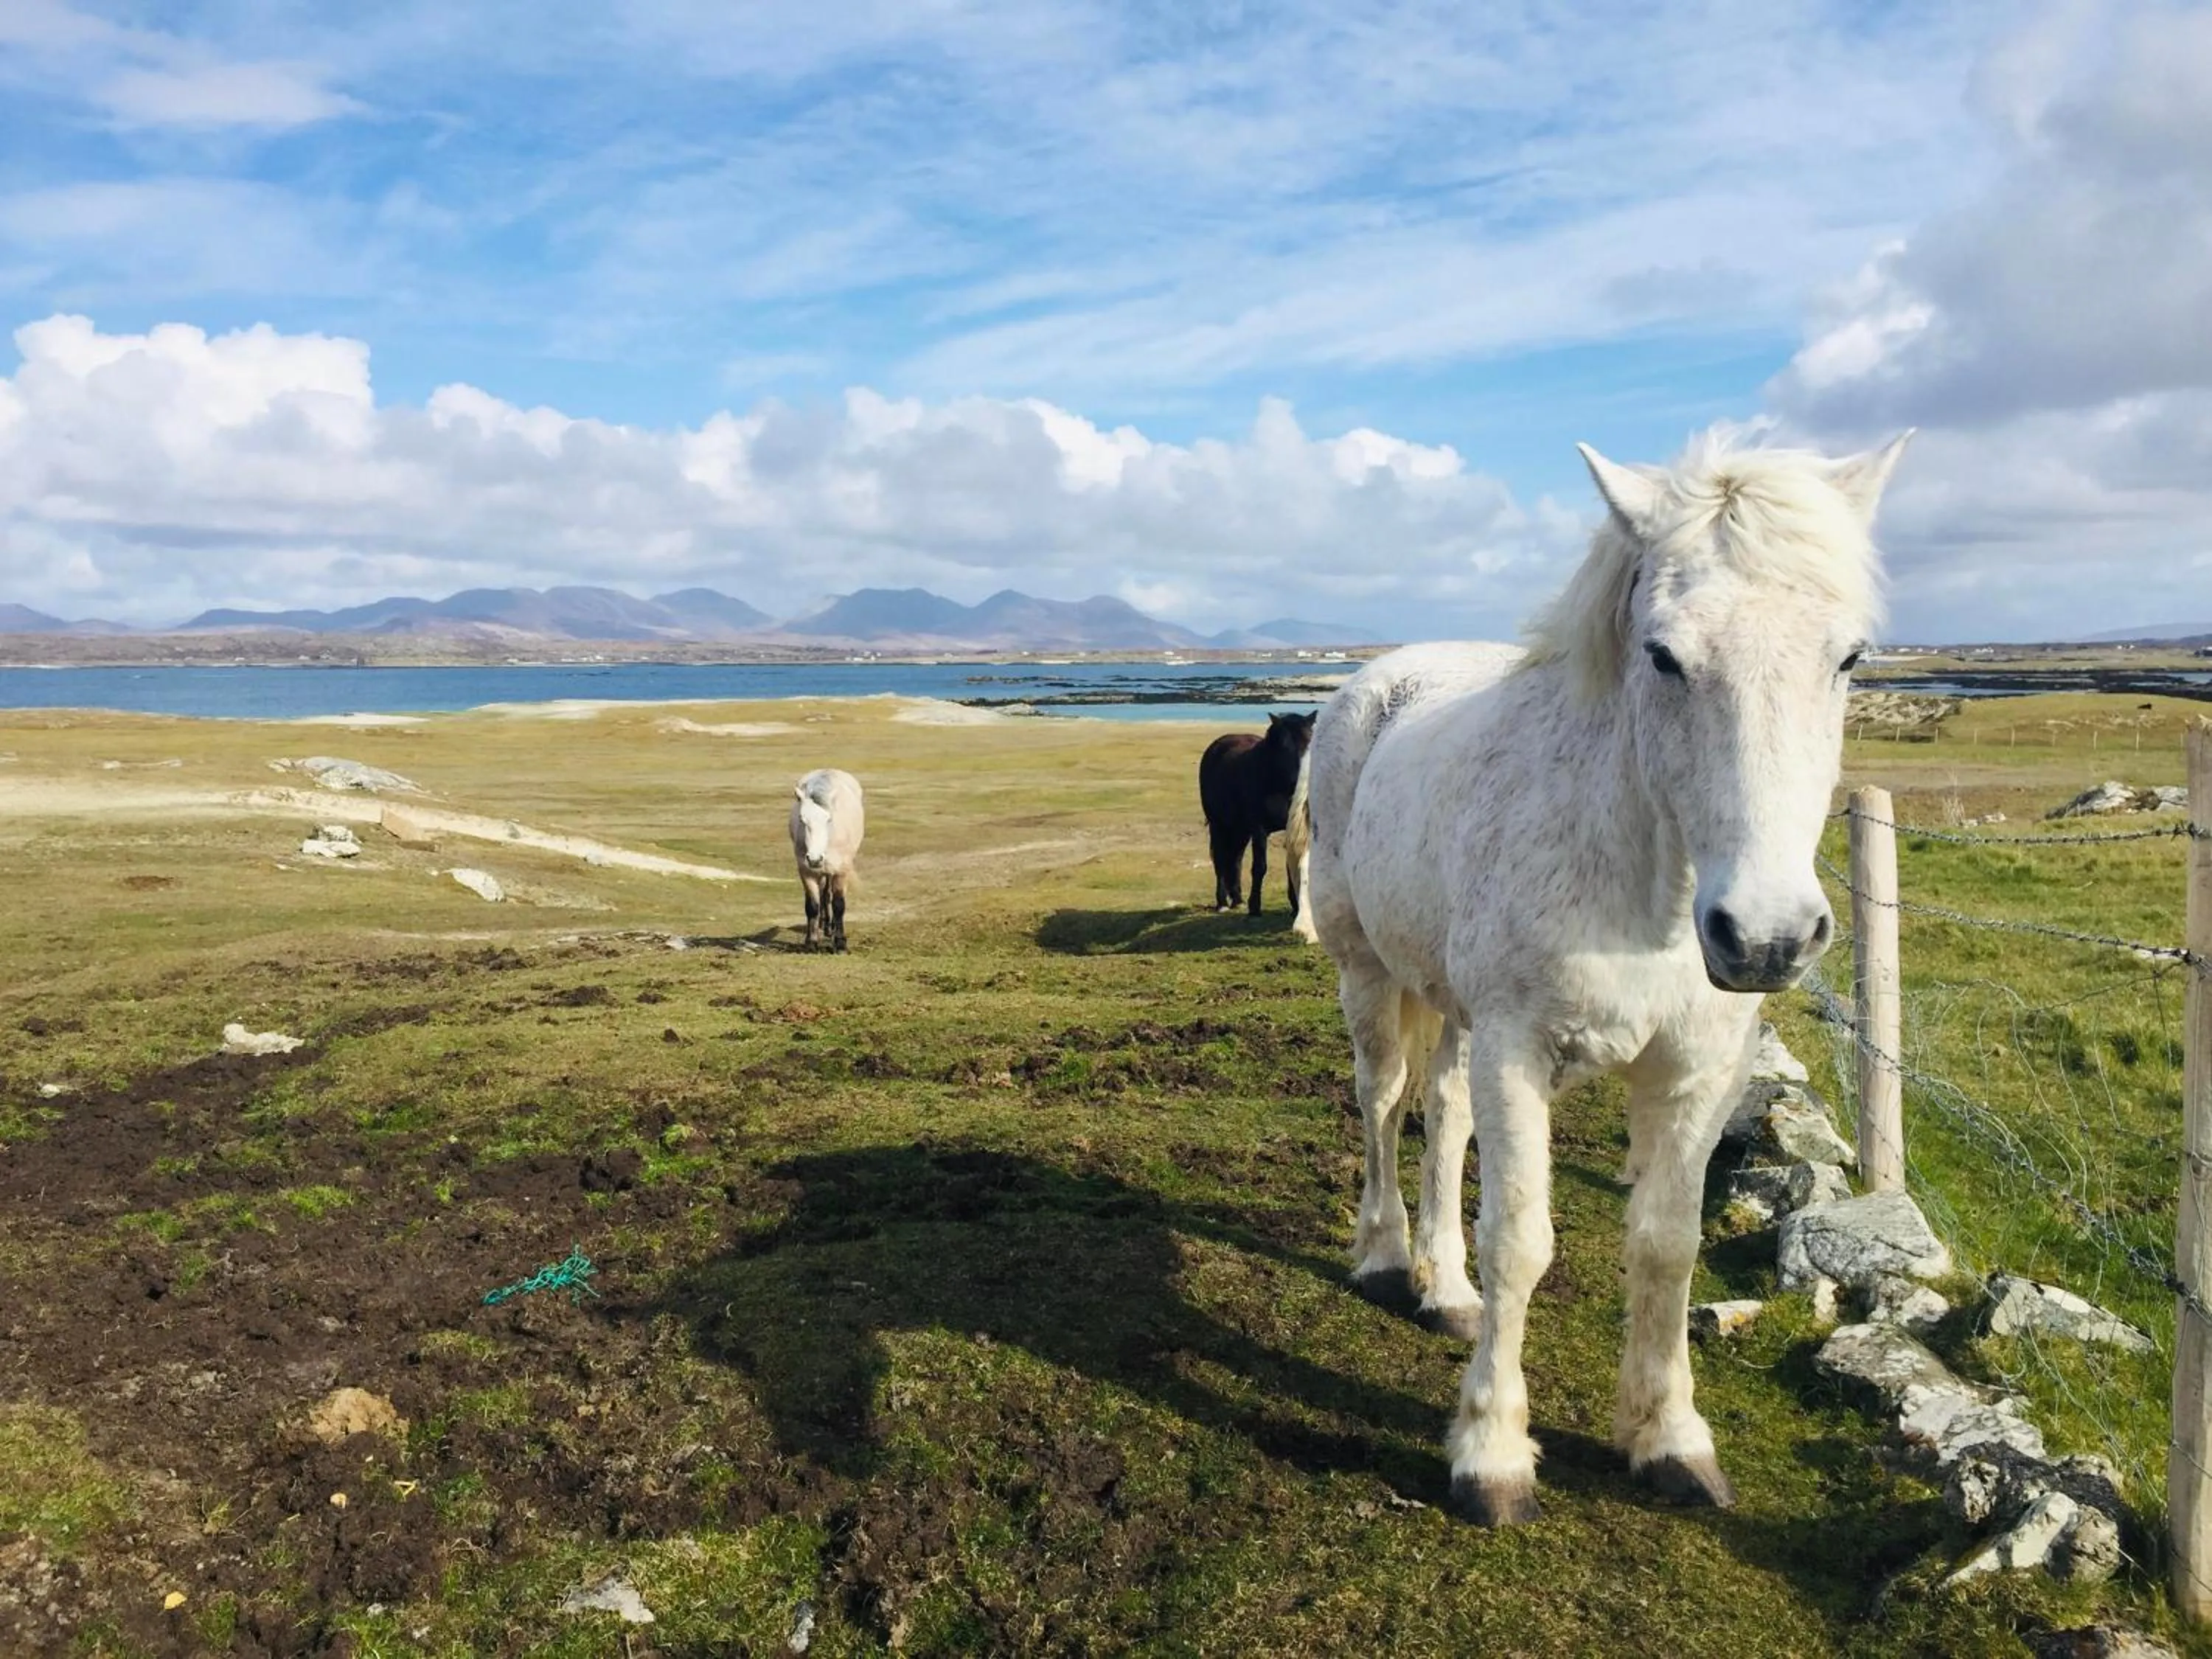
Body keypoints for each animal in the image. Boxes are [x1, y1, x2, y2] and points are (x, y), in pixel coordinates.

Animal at [789, 768, 865, 950]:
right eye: (802, 819)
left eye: (829, 819)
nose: (815, 859)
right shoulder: (806, 870)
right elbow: (812, 905)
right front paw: (811, 942)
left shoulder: (841, 870)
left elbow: (839, 904)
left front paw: (840, 943)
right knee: (824, 893)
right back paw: (825, 926)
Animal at [1198, 710, 1316, 915]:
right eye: (1284, 746)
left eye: (1310, 743)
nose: (1302, 781)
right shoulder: (1259, 829)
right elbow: (1259, 867)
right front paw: (1255, 907)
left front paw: (1295, 905)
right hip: (1218, 824)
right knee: (1220, 860)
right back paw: (1222, 902)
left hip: (1240, 829)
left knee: (1236, 859)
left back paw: (1237, 899)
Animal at [1304, 430, 1910, 1526]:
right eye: (1663, 655)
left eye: (1849, 658)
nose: (1766, 937)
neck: (1645, 888)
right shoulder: (1519, 1051)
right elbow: (1521, 1240)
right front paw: (1491, 1454)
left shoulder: (1697, 1072)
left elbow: (1667, 1243)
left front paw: (1667, 1438)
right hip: (1369, 973)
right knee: (1383, 1100)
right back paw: (1384, 1257)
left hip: (1457, 1011)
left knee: (1442, 1114)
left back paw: (1443, 1288)